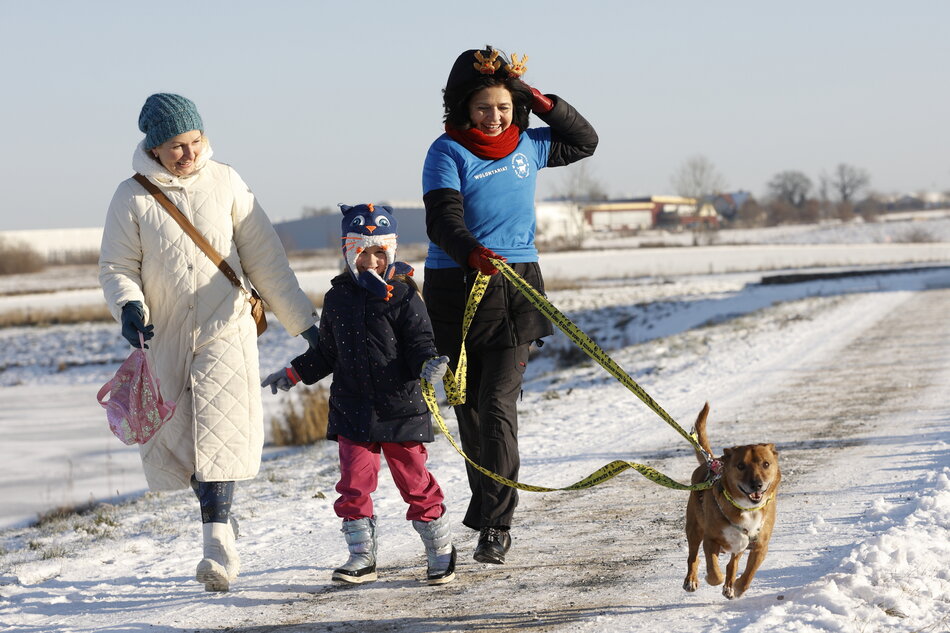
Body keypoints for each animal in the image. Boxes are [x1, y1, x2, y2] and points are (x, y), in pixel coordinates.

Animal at [684, 404, 780, 596]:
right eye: (741, 465)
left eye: (766, 464)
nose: (756, 485)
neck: (746, 509)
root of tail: (710, 461)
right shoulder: (710, 539)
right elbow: (714, 572)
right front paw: (713, 578)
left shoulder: (760, 545)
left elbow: (748, 574)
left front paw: (736, 587)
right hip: (694, 528)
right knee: (693, 557)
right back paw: (691, 580)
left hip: (740, 544)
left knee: (732, 563)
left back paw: (729, 584)